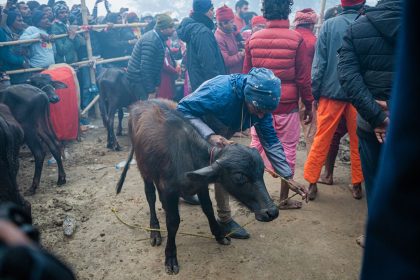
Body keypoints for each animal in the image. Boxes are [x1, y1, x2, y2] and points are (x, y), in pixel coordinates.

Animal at [115, 99, 278, 274]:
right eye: (239, 177)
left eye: (261, 172)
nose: (272, 212)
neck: (189, 156)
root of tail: (140, 103)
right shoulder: (168, 189)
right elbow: (173, 221)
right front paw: (170, 257)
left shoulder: (201, 185)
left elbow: (208, 209)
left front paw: (219, 235)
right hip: (144, 169)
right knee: (150, 196)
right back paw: (155, 231)